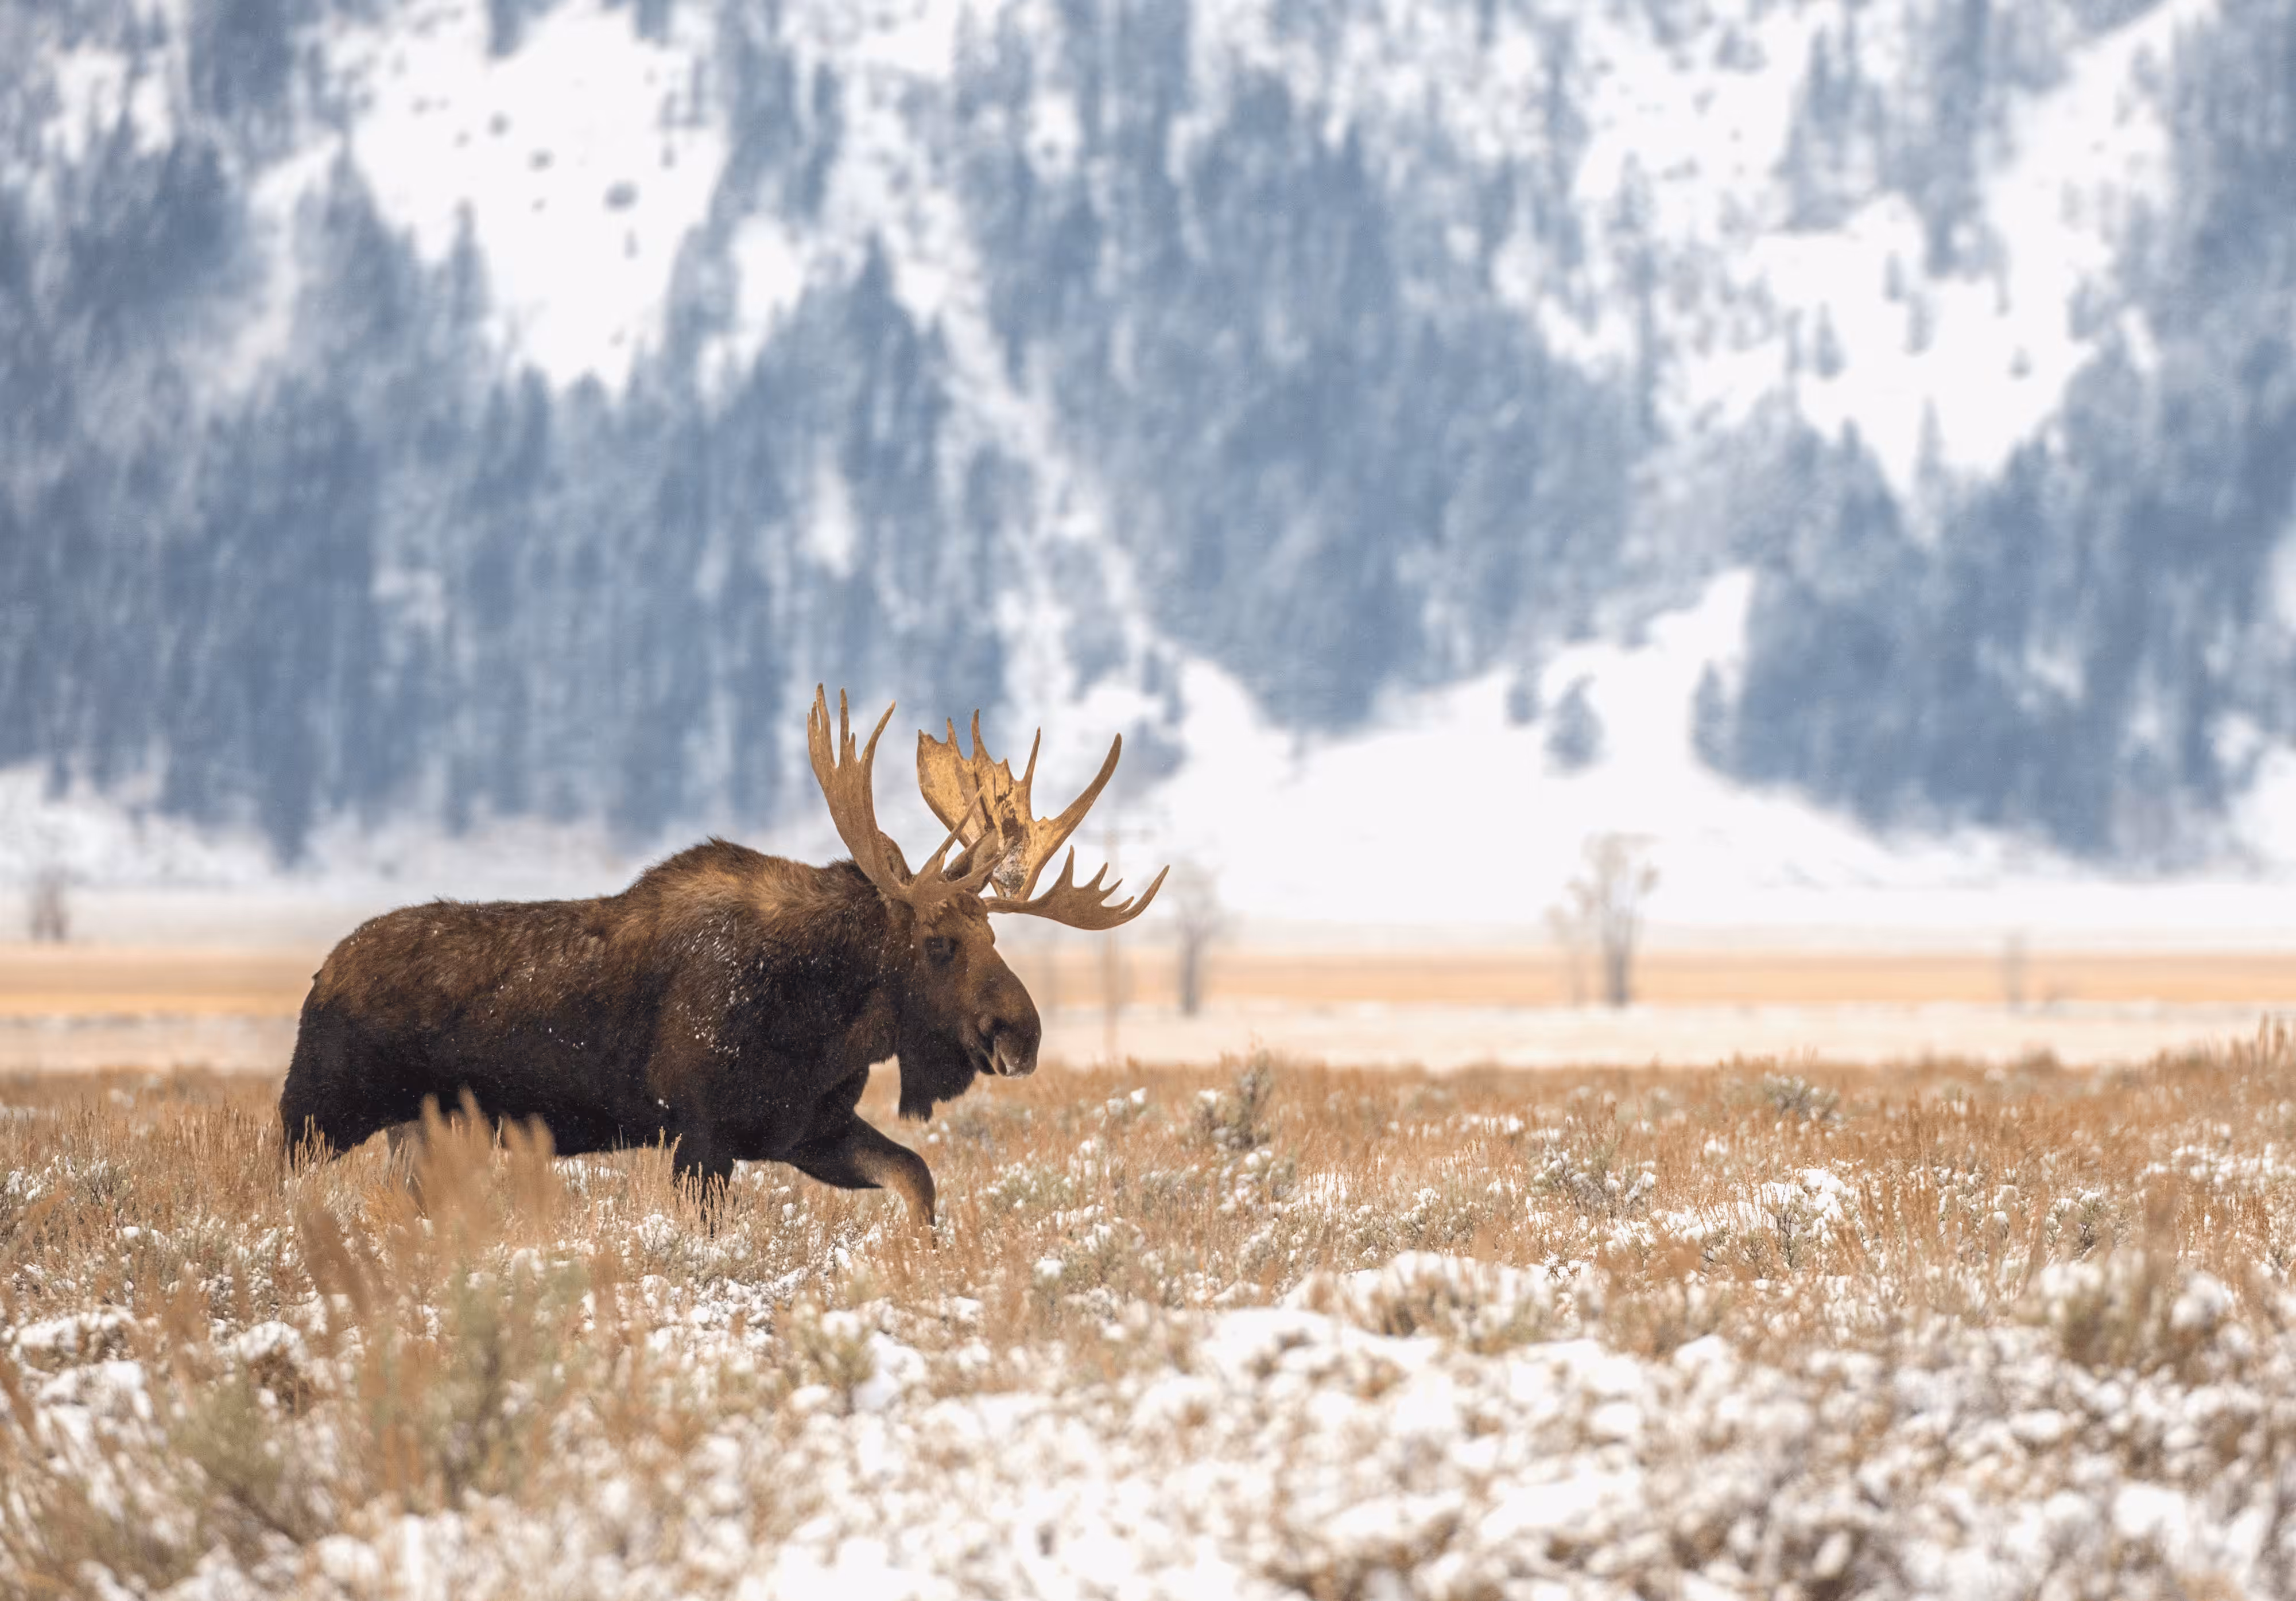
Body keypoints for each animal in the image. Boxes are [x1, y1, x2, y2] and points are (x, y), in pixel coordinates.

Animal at [276, 686, 1164, 1226]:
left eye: (996, 937)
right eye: (939, 942)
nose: (1024, 1033)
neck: (829, 1017)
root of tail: (320, 973)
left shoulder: (806, 1128)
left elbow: (917, 1179)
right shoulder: (701, 1134)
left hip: (419, 1133)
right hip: (317, 1110)